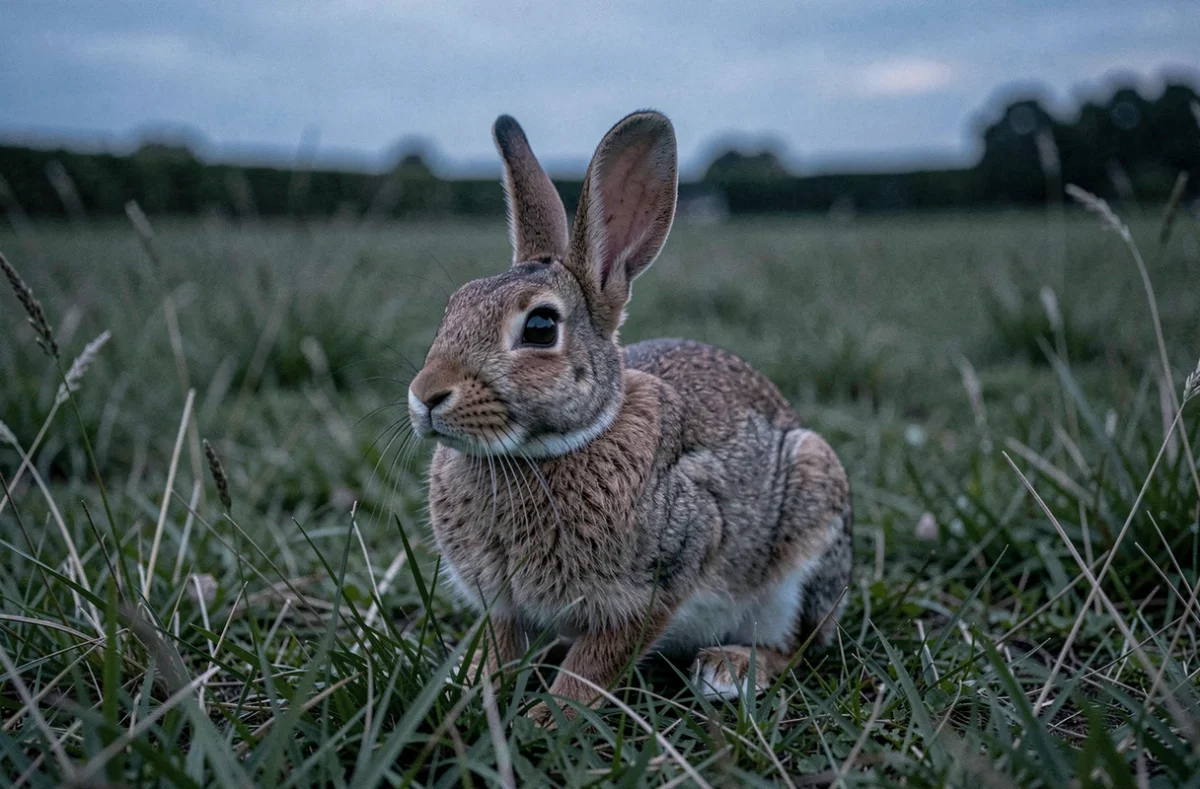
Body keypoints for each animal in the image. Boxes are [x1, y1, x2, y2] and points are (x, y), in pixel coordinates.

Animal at [407, 109, 852, 725]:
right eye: (452, 309)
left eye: (540, 327)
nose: (425, 396)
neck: (548, 449)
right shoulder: (502, 603)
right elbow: (501, 644)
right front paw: (473, 685)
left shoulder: (658, 583)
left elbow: (596, 663)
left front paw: (549, 716)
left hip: (804, 540)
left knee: (796, 643)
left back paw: (728, 670)